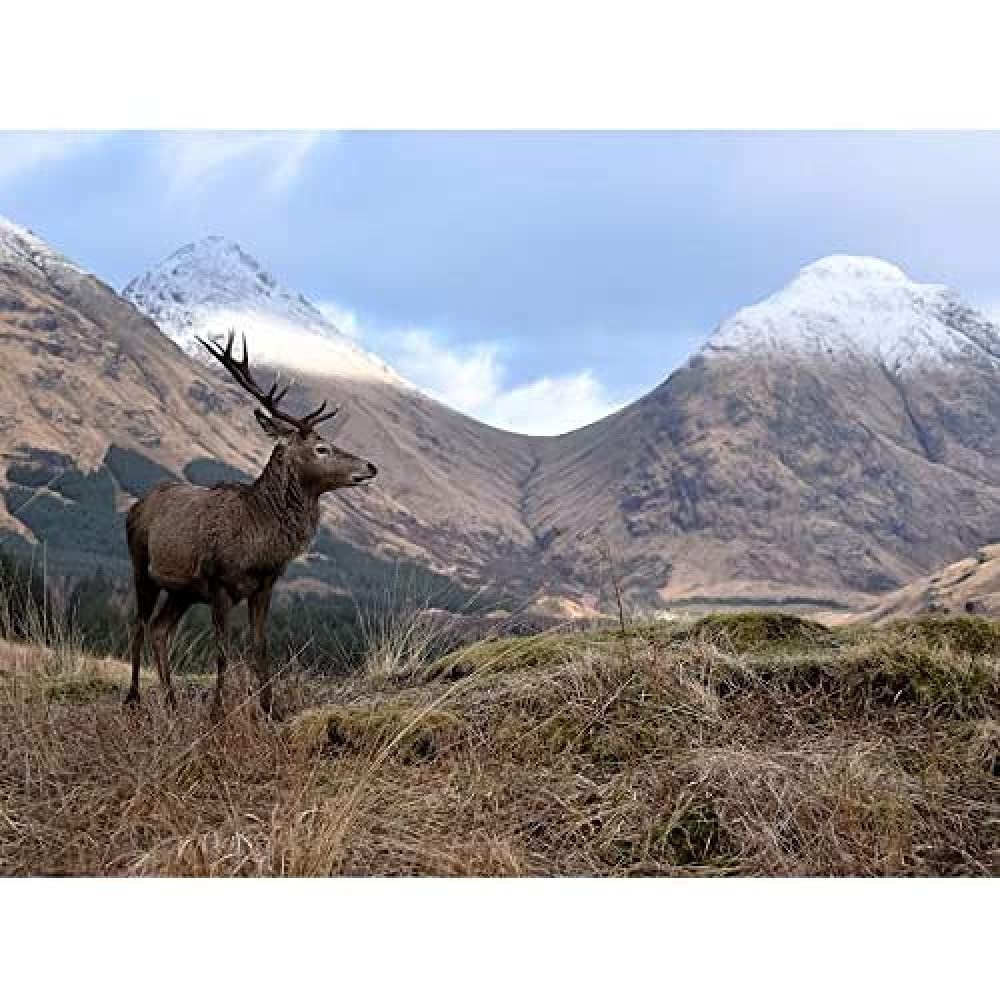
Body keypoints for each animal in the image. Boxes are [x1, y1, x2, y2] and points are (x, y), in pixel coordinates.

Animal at [124, 331, 378, 718]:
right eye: (321, 448)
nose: (370, 466)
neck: (258, 543)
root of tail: (134, 508)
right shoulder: (218, 583)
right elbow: (222, 652)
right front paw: (217, 713)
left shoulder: (265, 585)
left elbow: (260, 648)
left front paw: (270, 710)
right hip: (142, 566)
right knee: (139, 626)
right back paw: (135, 699)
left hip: (182, 591)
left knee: (159, 630)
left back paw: (172, 701)